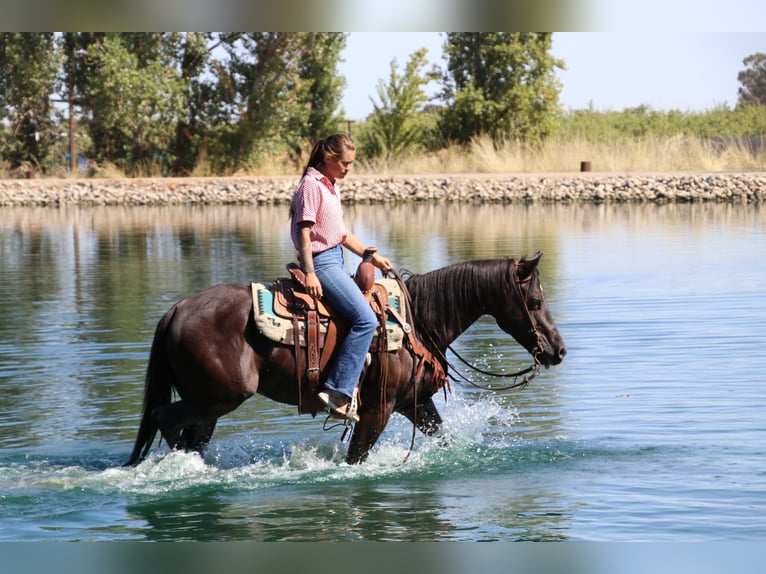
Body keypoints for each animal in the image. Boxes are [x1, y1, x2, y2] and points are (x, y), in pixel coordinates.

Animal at [125, 252, 566, 466]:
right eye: (535, 301)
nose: (558, 350)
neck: (418, 319)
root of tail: (176, 309)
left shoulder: (415, 403)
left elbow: (443, 437)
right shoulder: (378, 408)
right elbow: (356, 459)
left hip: (210, 405)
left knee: (189, 435)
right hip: (218, 397)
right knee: (166, 418)